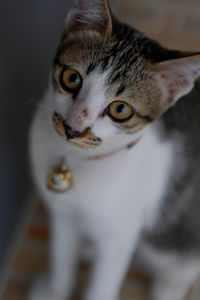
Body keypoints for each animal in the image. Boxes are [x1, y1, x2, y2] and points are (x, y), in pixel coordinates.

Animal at [27, 0, 200, 300]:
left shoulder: (119, 238)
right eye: (71, 78)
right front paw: (54, 289)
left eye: (120, 109)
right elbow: (61, 253)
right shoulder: (61, 212)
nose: (74, 128)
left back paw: (170, 285)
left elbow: (102, 284)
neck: (79, 162)